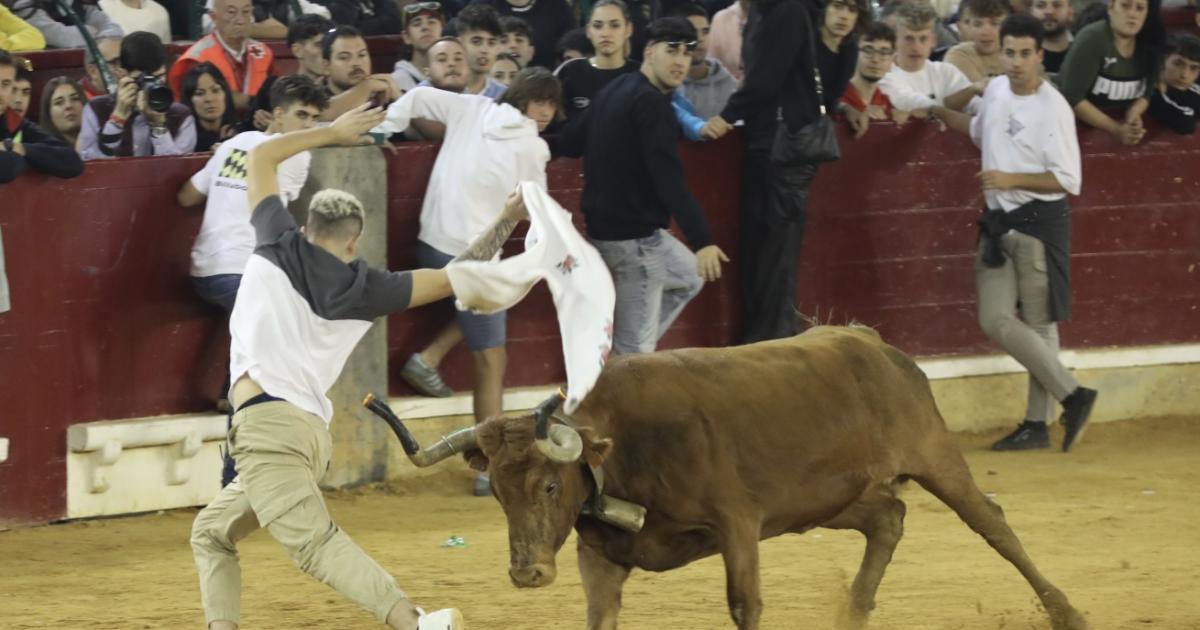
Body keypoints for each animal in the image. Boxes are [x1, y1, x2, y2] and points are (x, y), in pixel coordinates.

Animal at [369, 326, 1094, 624]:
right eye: (498, 493)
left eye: (550, 485)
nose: (528, 574)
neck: (623, 450)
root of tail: (871, 341)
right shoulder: (599, 557)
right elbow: (600, 616)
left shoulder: (738, 527)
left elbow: (745, 605)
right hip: (827, 499)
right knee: (889, 516)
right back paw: (853, 613)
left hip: (935, 454)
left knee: (992, 524)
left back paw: (1067, 612)